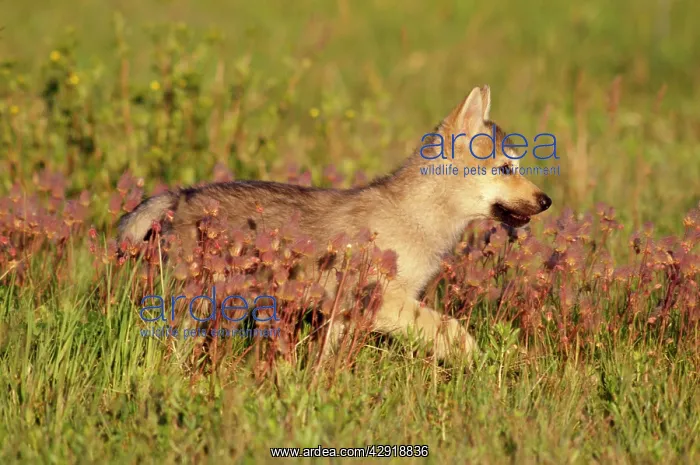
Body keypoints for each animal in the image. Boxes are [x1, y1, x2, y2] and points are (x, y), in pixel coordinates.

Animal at [117, 85, 552, 361]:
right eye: (505, 168)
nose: (546, 201)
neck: (417, 216)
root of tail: (180, 195)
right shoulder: (383, 302)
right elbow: (454, 329)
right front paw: (476, 362)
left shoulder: (343, 314)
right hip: (197, 303)